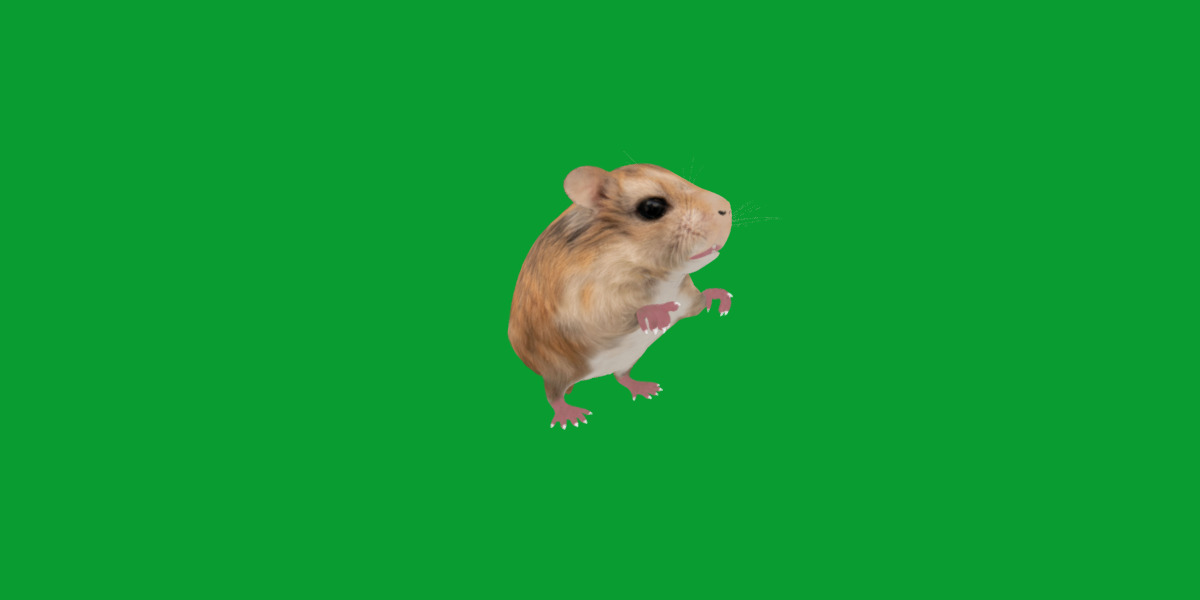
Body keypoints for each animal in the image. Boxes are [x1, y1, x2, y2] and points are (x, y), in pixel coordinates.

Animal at [508, 164, 734, 430]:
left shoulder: (686, 295)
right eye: (652, 207)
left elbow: (700, 300)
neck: (661, 278)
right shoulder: (586, 301)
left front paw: (722, 298)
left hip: (627, 360)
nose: (726, 207)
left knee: (621, 377)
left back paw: (645, 389)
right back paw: (570, 417)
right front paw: (657, 313)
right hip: (558, 370)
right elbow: (619, 313)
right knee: (554, 395)